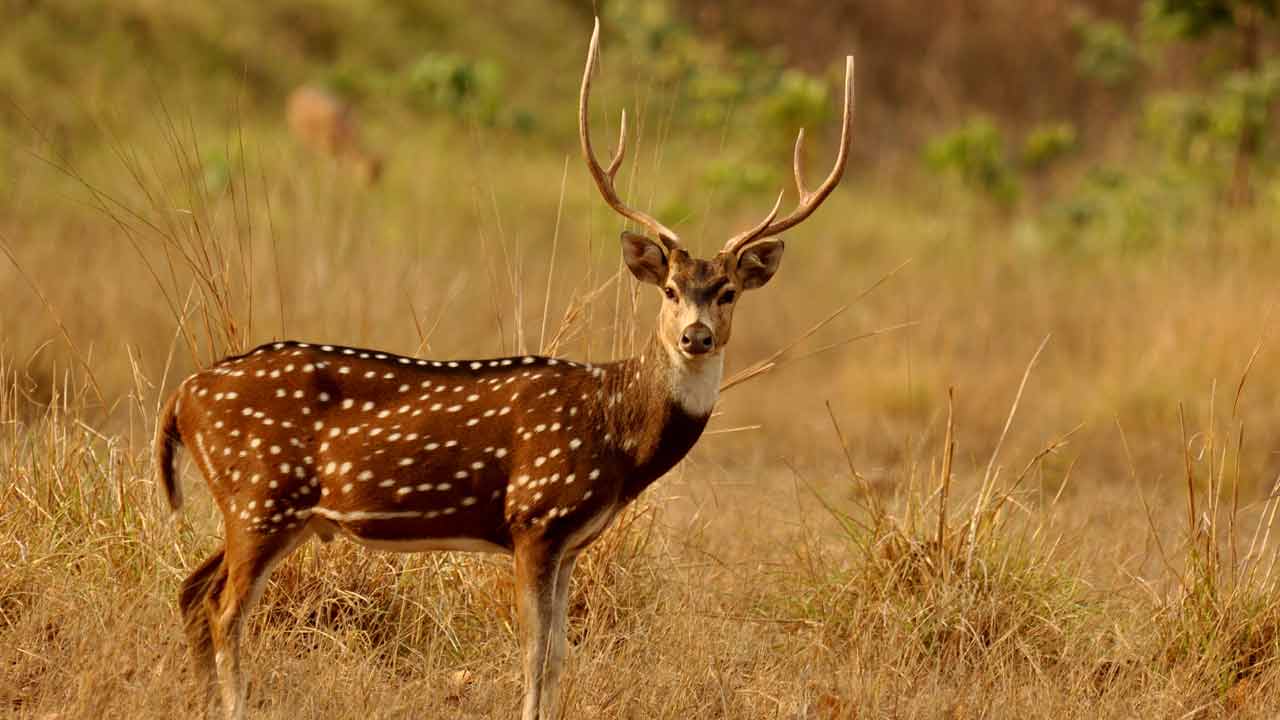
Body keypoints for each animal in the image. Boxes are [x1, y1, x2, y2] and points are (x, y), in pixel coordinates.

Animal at [156, 19, 853, 720]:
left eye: (728, 292)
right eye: (670, 289)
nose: (696, 336)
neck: (616, 431)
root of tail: (182, 396)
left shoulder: (572, 541)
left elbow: (560, 655)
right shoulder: (535, 515)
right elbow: (535, 655)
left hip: (271, 510)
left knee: (192, 591)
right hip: (262, 495)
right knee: (223, 610)